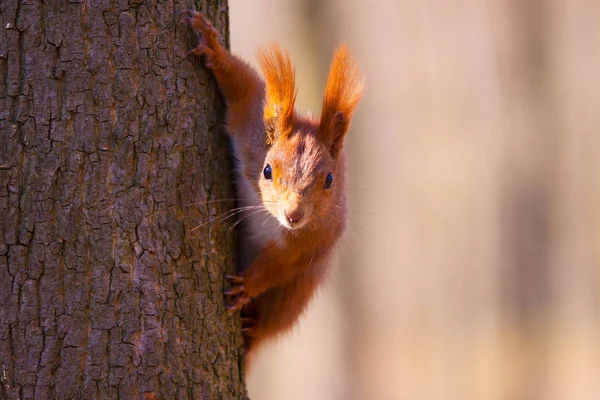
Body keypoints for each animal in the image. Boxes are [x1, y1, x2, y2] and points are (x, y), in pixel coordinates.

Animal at [180, 10, 364, 366]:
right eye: (267, 171)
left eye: (329, 180)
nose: (294, 215)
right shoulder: (250, 126)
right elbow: (242, 86)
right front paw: (212, 46)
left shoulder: (314, 238)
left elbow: (281, 266)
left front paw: (247, 285)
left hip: (291, 299)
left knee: (268, 325)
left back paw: (252, 329)